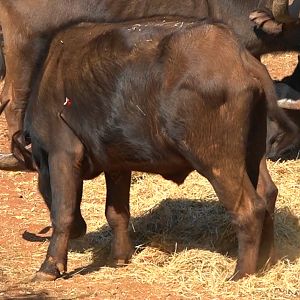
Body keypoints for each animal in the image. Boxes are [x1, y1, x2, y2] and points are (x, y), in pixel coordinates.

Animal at [12, 18, 298, 282]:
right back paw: (266, 260)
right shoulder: (117, 165)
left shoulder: (62, 154)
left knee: (249, 208)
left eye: (43, 187)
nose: (80, 230)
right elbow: (116, 212)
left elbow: (63, 213)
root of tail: (241, 58)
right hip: (254, 152)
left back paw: (241, 274)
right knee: (268, 193)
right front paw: (119, 257)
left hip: (217, 160)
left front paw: (49, 267)